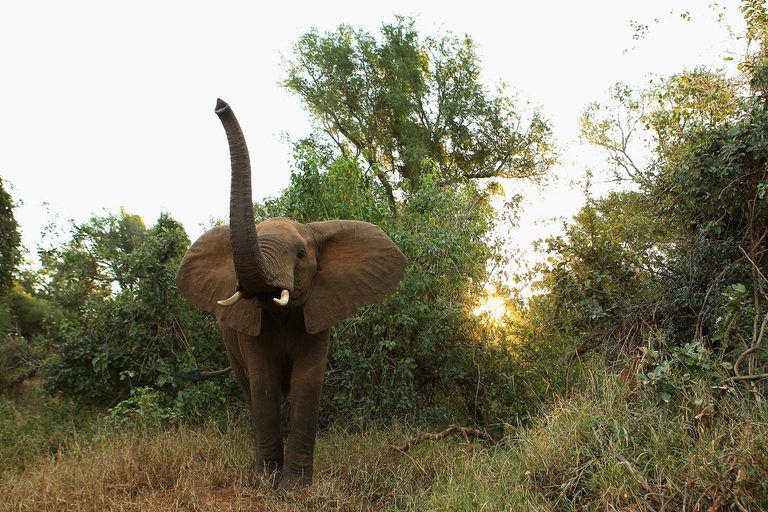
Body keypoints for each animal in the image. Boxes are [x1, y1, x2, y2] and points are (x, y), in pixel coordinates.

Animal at [175, 99, 407, 490]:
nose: (219, 105)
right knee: (247, 386)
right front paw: (265, 481)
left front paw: (295, 488)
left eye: (300, 254)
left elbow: (307, 383)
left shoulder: (319, 313)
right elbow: (264, 383)